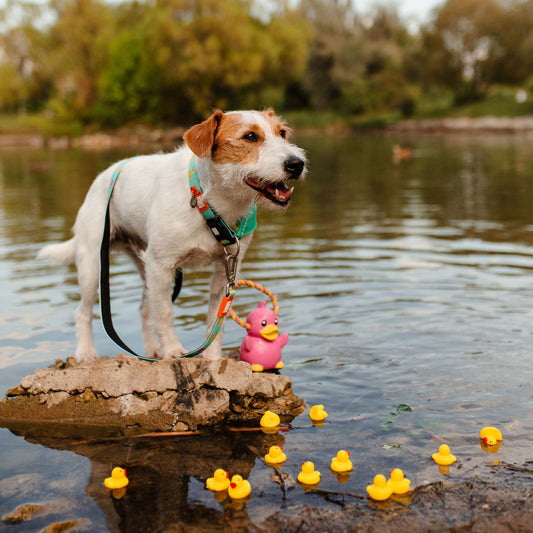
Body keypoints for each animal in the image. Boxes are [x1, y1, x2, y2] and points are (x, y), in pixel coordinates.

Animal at [38, 110, 304, 364]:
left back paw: (151, 350)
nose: (297, 164)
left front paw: (212, 356)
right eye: (250, 136)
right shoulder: (161, 265)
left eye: (282, 133)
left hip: (144, 265)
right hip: (93, 263)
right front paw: (174, 351)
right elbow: (165, 314)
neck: (207, 201)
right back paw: (85, 352)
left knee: (145, 309)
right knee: (84, 312)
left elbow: (216, 316)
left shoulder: (226, 268)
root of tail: (103, 177)